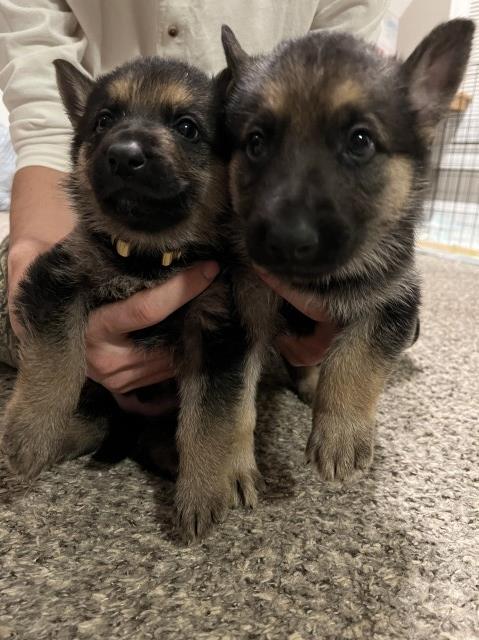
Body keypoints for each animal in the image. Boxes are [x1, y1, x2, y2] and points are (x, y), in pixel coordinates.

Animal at [0, 58, 274, 540]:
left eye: (187, 128)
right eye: (104, 120)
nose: (124, 154)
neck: (148, 257)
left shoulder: (216, 332)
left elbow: (208, 419)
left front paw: (202, 489)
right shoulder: (57, 280)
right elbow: (55, 361)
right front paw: (31, 432)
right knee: (98, 422)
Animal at [222, 18, 476, 480]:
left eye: (360, 141)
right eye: (255, 143)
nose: (286, 239)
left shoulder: (391, 304)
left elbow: (353, 360)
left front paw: (340, 433)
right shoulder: (245, 310)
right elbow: (231, 401)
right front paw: (222, 470)